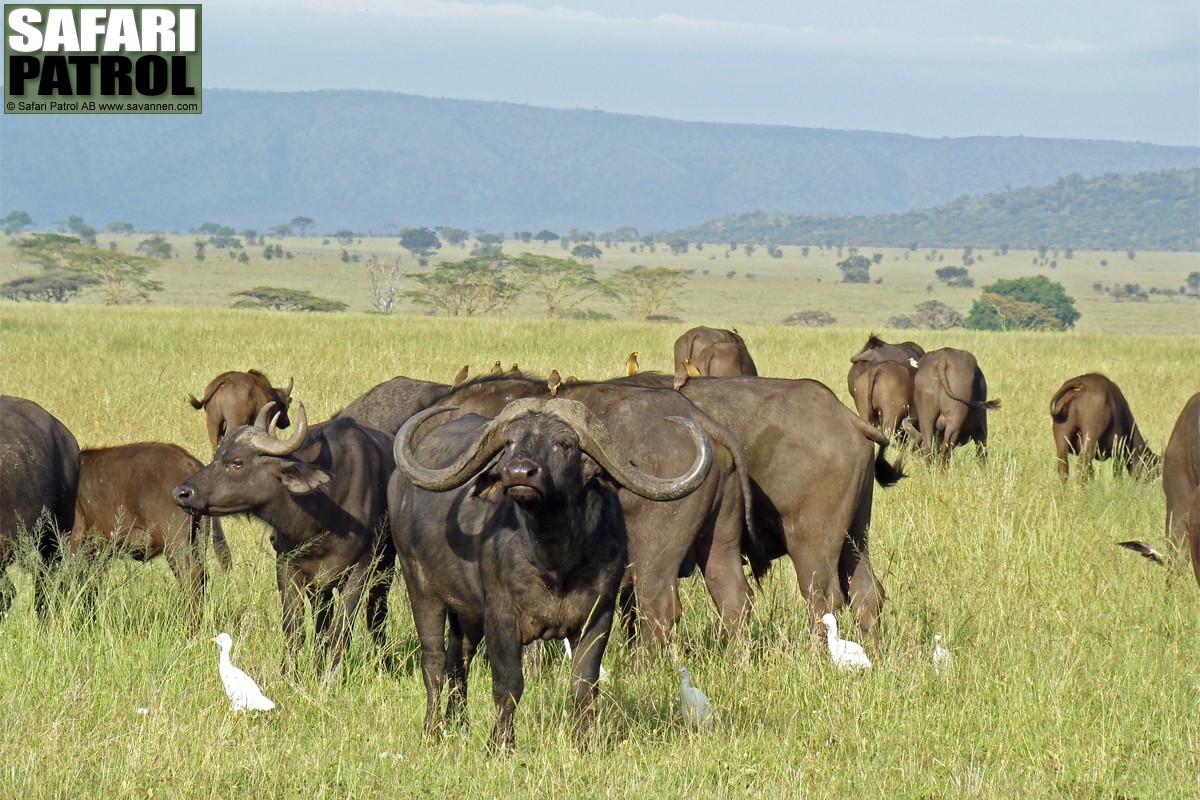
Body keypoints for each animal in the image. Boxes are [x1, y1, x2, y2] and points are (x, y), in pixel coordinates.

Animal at [174, 402, 393, 681]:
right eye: (216, 457)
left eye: (237, 462)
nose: (181, 492)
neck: (324, 515)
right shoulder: (287, 568)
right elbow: (294, 629)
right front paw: (289, 675)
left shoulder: (361, 570)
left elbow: (342, 628)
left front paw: (331, 678)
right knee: (321, 621)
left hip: (385, 569)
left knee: (375, 615)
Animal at [391, 398, 710, 748]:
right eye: (509, 442)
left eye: (564, 444)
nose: (519, 472)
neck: (554, 562)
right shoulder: (500, 616)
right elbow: (509, 684)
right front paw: (501, 745)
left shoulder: (598, 615)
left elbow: (584, 685)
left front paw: (585, 742)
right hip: (421, 588)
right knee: (434, 661)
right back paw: (433, 729)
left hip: (467, 613)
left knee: (458, 660)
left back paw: (458, 724)